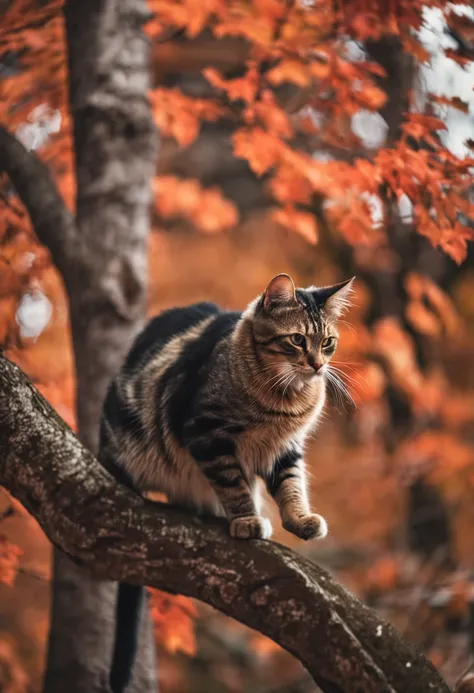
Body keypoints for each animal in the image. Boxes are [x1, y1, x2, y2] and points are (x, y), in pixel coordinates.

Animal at [99, 274, 352, 688]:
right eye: (298, 340)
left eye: (328, 342)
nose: (317, 365)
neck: (283, 399)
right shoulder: (207, 434)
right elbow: (233, 484)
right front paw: (247, 519)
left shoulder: (286, 449)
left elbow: (291, 485)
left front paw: (300, 520)